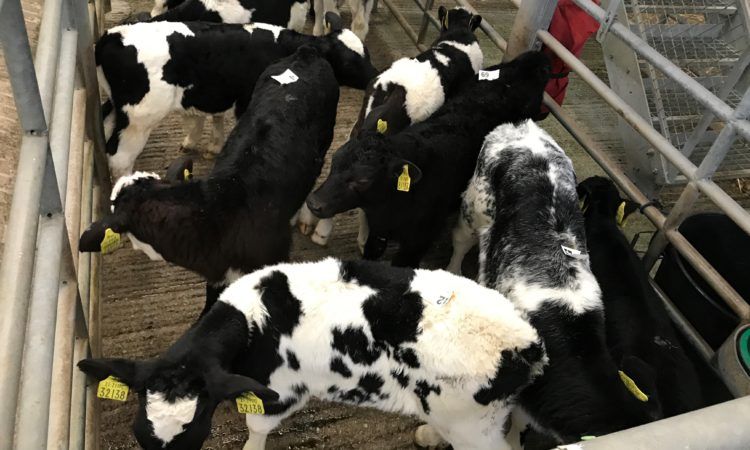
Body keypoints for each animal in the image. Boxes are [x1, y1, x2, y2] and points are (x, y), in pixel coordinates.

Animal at [78, 257, 546, 450]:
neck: (254, 320)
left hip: (472, 425)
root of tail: (526, 342)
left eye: (193, 434)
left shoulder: (281, 390)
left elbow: (257, 429)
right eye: (140, 434)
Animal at [96, 13, 376, 177]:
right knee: (119, 156)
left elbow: (214, 118)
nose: (375, 75)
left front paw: (211, 146)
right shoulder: (246, 101)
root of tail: (112, 36)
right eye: (349, 62)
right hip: (139, 119)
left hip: (118, 108)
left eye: (367, 53)